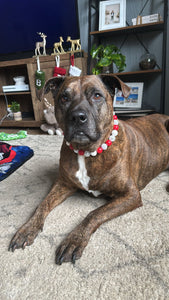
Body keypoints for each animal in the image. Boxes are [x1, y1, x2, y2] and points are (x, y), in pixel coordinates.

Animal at [8, 74, 169, 264]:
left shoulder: (131, 195)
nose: (78, 117)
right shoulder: (63, 184)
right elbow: (42, 204)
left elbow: (94, 213)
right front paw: (27, 228)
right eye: (64, 98)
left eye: (97, 95)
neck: (86, 152)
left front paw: (74, 240)